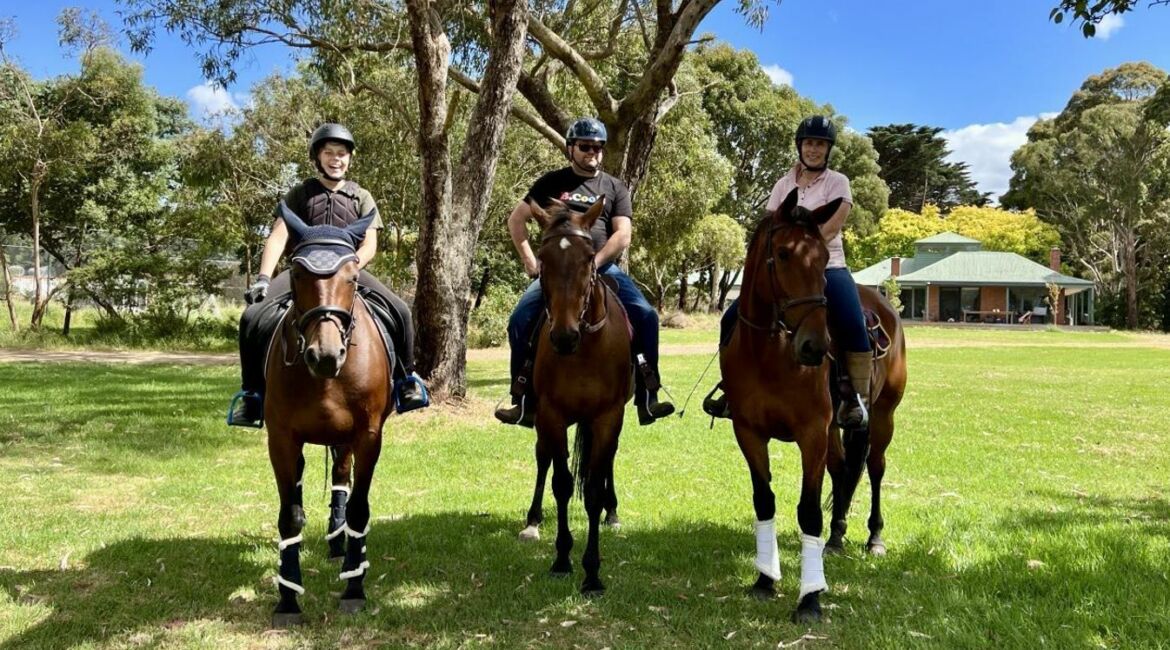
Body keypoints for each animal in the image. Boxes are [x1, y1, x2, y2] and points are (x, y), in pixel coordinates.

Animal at [264, 205, 393, 626]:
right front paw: (288, 598)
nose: (325, 355)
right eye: (297, 273)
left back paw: (340, 546)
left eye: (352, 277)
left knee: (340, 477)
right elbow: (289, 514)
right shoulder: (281, 438)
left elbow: (358, 509)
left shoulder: (368, 436)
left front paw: (354, 588)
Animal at [526, 201, 631, 596]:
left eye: (588, 258)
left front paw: (593, 573)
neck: (584, 349)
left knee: (607, 464)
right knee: (542, 460)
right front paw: (561, 559)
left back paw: (613, 513)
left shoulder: (608, 417)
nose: (564, 336)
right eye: (542, 258)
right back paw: (531, 521)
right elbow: (561, 483)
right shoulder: (551, 415)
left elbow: (594, 490)